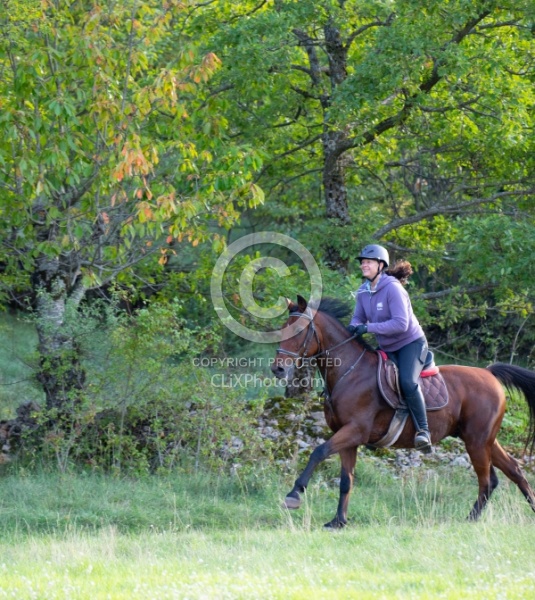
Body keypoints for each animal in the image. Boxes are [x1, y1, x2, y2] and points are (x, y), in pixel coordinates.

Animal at [272, 298, 535, 528]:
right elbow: (347, 480)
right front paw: (338, 521)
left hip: (476, 441)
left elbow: (318, 452)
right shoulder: (348, 439)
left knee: (487, 480)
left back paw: (472, 518)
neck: (349, 372)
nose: (278, 369)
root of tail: (489, 373)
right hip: (484, 439)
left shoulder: (355, 431)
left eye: (298, 332)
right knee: (513, 470)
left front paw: (294, 495)